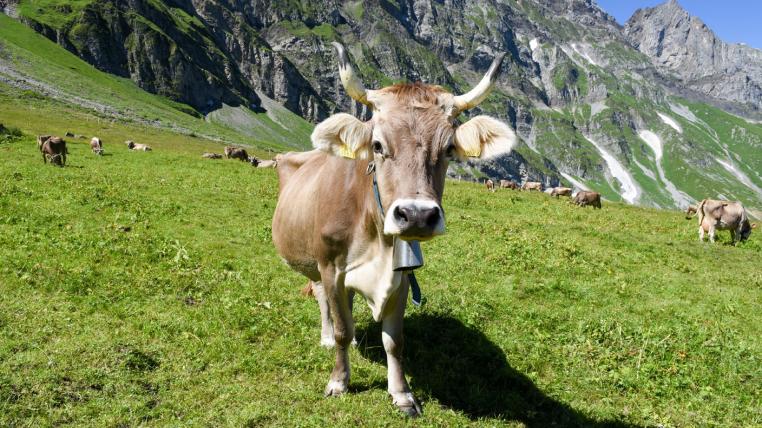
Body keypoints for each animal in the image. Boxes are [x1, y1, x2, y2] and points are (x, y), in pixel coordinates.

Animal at [271, 43, 515, 416]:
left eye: (448, 149)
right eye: (377, 145)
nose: (416, 215)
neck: (377, 240)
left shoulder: (401, 275)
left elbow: (394, 341)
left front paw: (401, 393)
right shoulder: (332, 268)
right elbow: (341, 329)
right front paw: (339, 381)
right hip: (315, 263)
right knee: (323, 301)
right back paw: (326, 336)